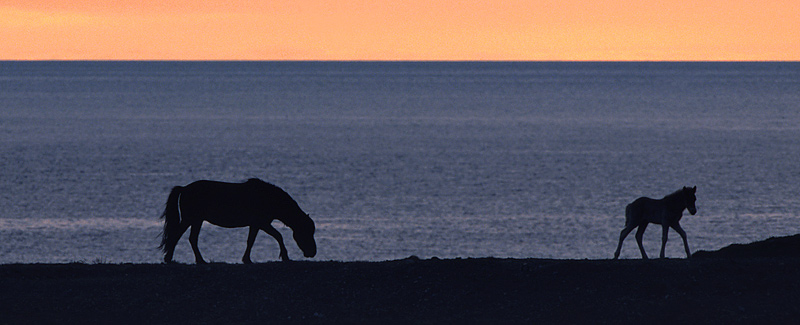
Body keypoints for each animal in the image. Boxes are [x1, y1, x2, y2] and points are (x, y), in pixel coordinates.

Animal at [158, 177, 318, 264]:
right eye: (306, 232)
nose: (312, 252)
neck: (268, 198)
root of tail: (184, 188)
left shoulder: (256, 225)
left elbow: (251, 241)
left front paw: (246, 259)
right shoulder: (262, 223)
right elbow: (278, 236)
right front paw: (285, 256)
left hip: (197, 220)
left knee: (192, 239)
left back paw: (199, 260)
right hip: (191, 219)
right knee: (177, 236)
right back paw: (170, 258)